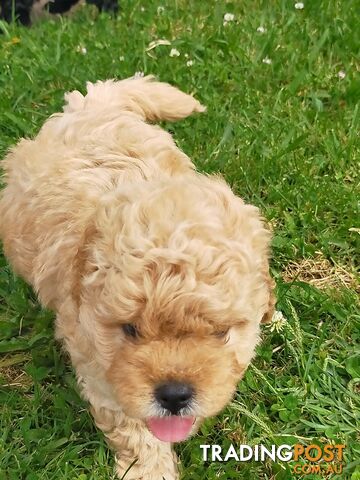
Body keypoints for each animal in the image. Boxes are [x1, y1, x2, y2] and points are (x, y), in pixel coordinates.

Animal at [0, 77, 276, 478]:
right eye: (129, 330)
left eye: (221, 333)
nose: (175, 395)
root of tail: (90, 106)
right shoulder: (100, 369)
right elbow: (135, 430)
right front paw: (151, 470)